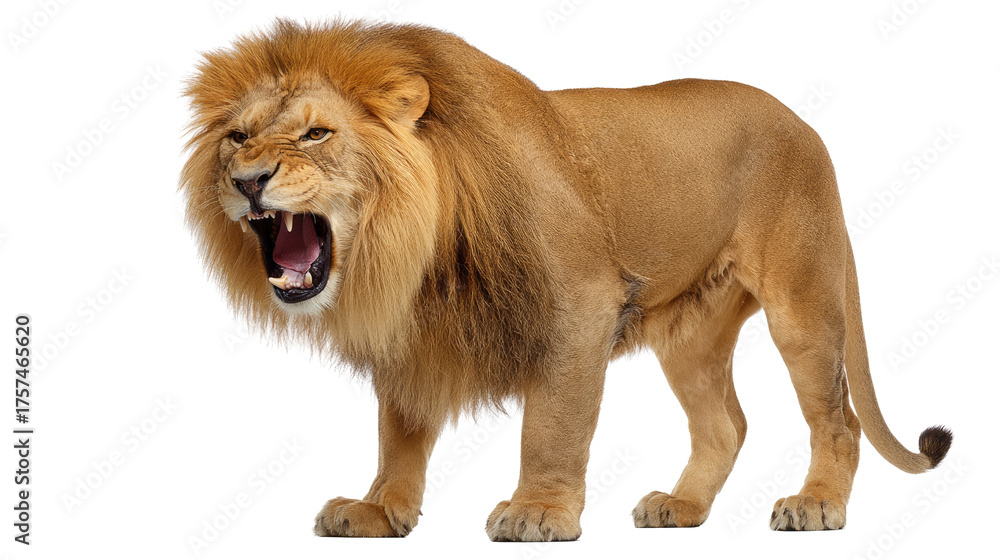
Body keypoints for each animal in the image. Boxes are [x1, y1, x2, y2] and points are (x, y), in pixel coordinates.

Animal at [180, 19, 952, 540]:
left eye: (316, 134)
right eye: (237, 137)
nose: (247, 181)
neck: (411, 253)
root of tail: (806, 125)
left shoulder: (579, 304)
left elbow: (554, 424)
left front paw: (538, 511)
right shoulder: (413, 336)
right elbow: (397, 430)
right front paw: (379, 509)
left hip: (802, 303)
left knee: (839, 418)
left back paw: (817, 504)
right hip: (692, 336)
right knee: (726, 424)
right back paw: (681, 508)